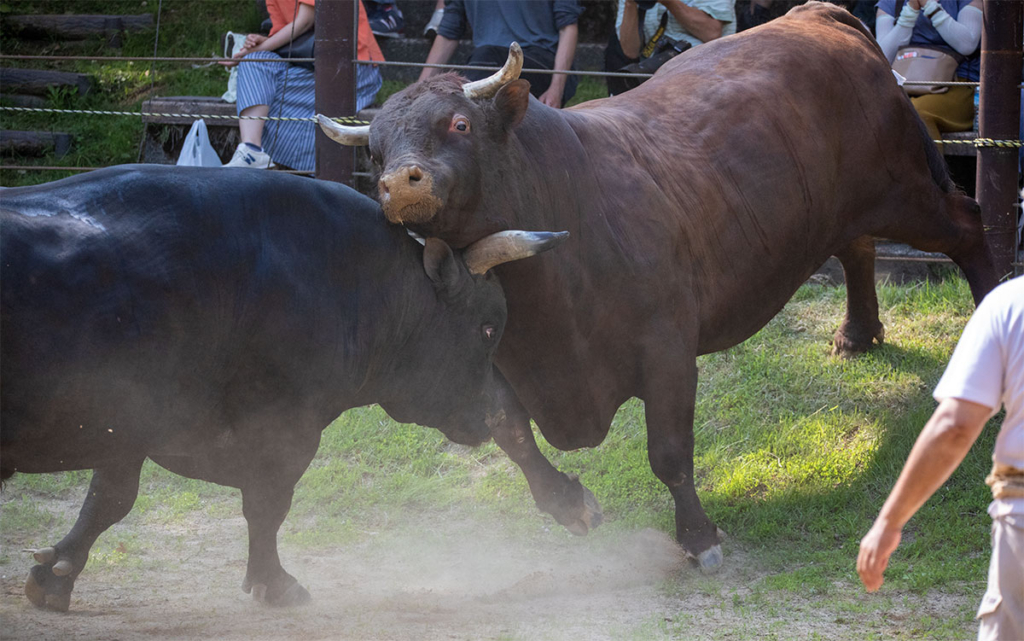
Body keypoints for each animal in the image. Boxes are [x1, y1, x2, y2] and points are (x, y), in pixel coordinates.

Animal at [0, 161, 565, 606]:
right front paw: (275, 582)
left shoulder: (133, 420)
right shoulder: (284, 426)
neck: (354, 279)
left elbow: (109, 497)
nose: (490, 413)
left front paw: (55, 574)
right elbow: (267, 504)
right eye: (488, 328)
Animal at [317, 1, 991, 569]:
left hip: (903, 189)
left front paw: (697, 539)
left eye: (459, 123)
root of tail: (818, 15)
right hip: (847, 208)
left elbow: (668, 452)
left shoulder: (667, 351)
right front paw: (570, 505)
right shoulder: (498, 359)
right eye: (374, 153)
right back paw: (857, 333)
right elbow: (510, 431)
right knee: (858, 246)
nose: (400, 184)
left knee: (967, 225)